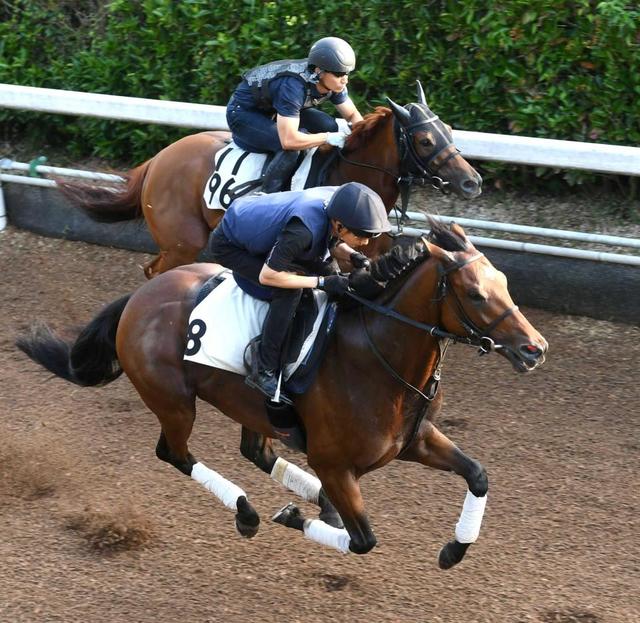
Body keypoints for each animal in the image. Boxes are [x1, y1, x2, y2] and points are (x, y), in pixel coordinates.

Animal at [16, 220, 547, 567]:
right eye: (476, 294)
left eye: (504, 283)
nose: (535, 349)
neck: (377, 357)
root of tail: (139, 298)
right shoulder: (335, 464)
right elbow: (364, 540)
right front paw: (294, 516)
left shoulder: (413, 441)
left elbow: (478, 475)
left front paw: (455, 548)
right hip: (173, 401)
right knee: (175, 453)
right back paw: (248, 511)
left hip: (249, 407)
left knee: (255, 451)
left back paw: (312, 501)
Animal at [57, 81, 482, 279]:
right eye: (425, 140)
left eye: (448, 130)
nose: (472, 182)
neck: (351, 177)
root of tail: (158, 159)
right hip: (183, 240)